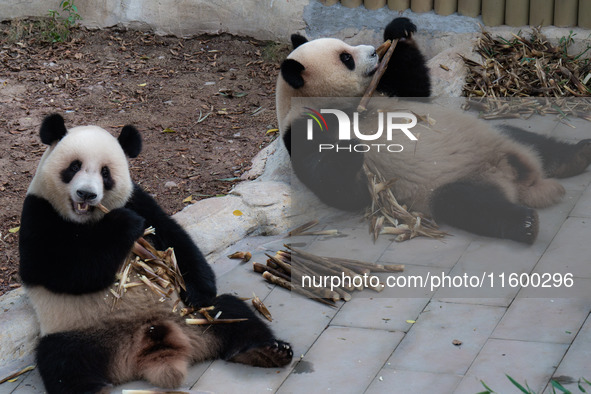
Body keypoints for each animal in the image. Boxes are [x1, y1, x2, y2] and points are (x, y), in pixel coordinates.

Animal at [19, 114, 292, 394]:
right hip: (81, 334)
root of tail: (146, 345)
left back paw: (266, 352)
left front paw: (197, 291)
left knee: (231, 312)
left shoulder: (137, 199)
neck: (87, 219)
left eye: (105, 173)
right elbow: (59, 269)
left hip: (190, 317)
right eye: (74, 166)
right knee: (62, 360)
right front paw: (123, 224)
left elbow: (176, 241)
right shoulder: (39, 211)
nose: (86, 194)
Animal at [278, 18, 591, 245]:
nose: (373, 52)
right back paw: (526, 224)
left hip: (497, 135)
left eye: (347, 47)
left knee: (535, 143)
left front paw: (399, 30)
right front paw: (349, 148)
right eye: (346, 58)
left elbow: (416, 88)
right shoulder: (305, 130)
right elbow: (339, 187)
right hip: (449, 186)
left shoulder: (387, 92)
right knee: (472, 206)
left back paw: (579, 155)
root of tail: (521, 181)